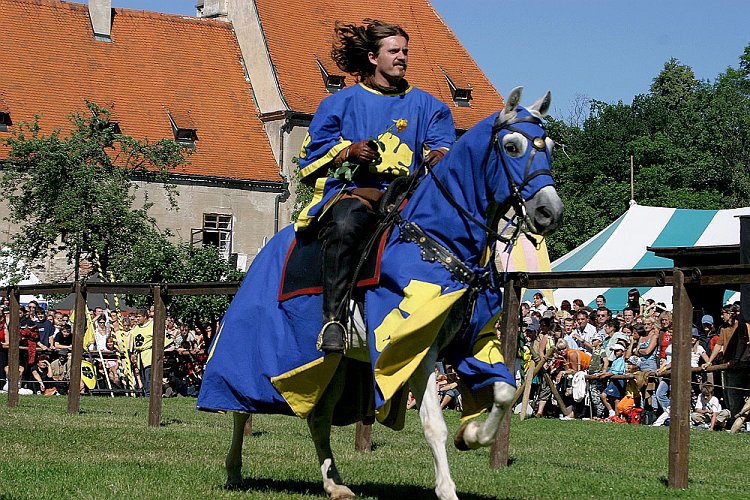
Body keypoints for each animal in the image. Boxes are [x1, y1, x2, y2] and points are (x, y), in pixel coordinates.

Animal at [200, 88, 564, 498]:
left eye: (550, 146)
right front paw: (447, 488)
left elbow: (504, 392)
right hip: (259, 349)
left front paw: (470, 435)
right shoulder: (413, 347)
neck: (438, 239)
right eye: (513, 146)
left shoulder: (472, 341)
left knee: (318, 417)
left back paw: (335, 483)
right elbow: (433, 424)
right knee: (238, 403)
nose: (550, 212)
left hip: (334, 365)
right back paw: (234, 470)